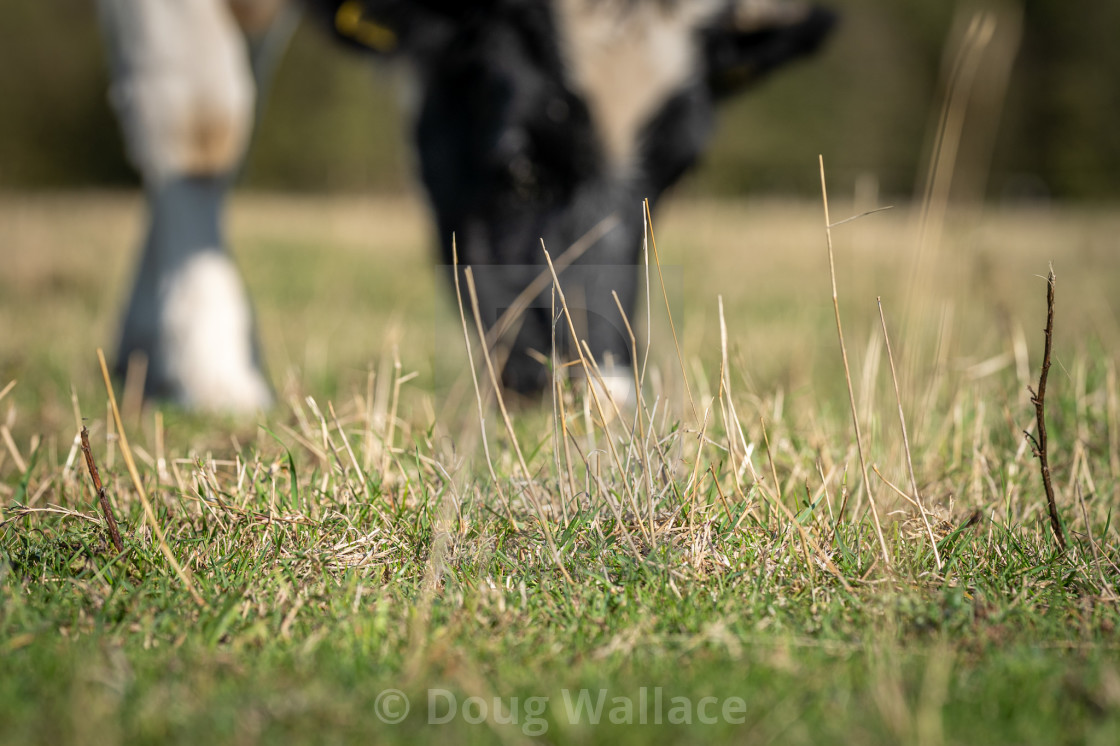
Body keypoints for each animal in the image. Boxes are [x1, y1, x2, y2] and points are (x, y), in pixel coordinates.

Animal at [94, 0, 833, 409]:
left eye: (677, 174)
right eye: (520, 161)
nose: (605, 392)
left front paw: (152, 349)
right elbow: (203, 126)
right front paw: (215, 376)